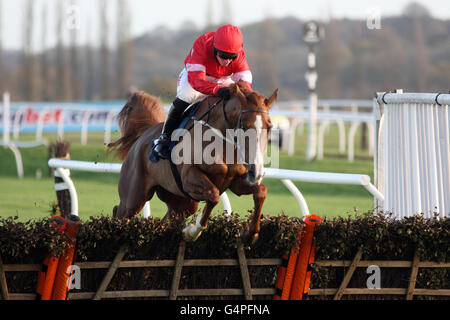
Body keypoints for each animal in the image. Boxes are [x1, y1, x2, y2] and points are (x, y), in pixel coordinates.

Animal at [109, 81, 278, 241]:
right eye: (243, 126)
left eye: (269, 127)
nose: (256, 172)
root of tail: (144, 135)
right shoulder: (188, 177)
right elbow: (213, 195)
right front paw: (192, 232)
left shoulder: (236, 181)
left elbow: (261, 192)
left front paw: (250, 233)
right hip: (134, 197)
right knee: (119, 211)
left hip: (181, 202)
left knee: (167, 220)